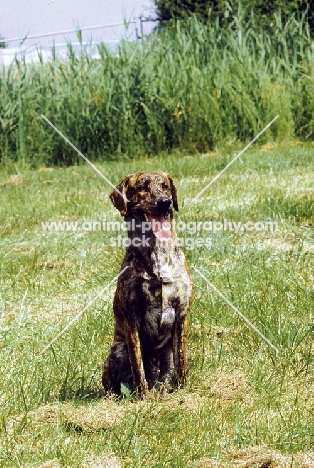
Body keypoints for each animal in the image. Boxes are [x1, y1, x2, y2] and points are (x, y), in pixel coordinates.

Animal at [102, 172, 193, 394]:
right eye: (142, 187)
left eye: (165, 185)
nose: (164, 202)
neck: (157, 250)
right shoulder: (132, 318)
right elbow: (137, 366)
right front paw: (142, 396)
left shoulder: (182, 313)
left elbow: (181, 362)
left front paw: (183, 390)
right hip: (118, 349)